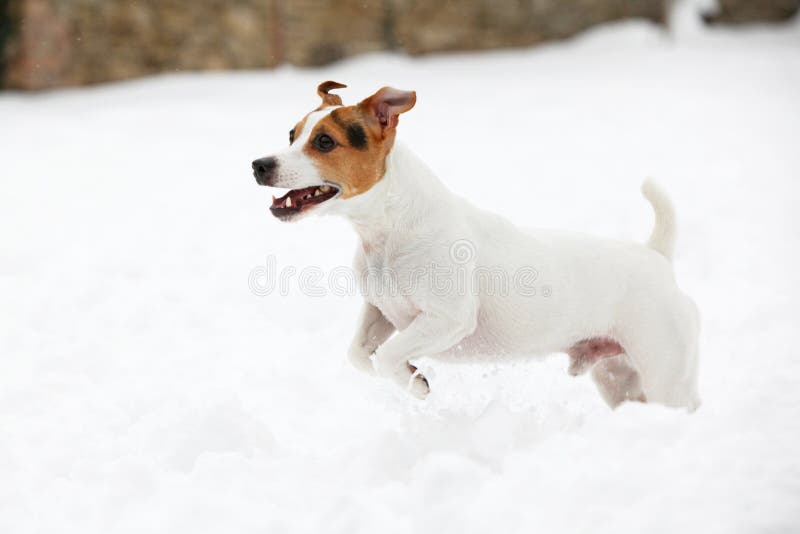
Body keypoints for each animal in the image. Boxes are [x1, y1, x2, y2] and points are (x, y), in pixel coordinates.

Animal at [252, 82, 700, 410]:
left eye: (325, 142)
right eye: (292, 134)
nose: (259, 165)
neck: (388, 231)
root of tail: (656, 255)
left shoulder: (448, 319)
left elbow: (387, 357)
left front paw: (416, 384)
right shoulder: (379, 310)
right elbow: (359, 354)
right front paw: (412, 374)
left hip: (666, 373)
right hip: (618, 378)